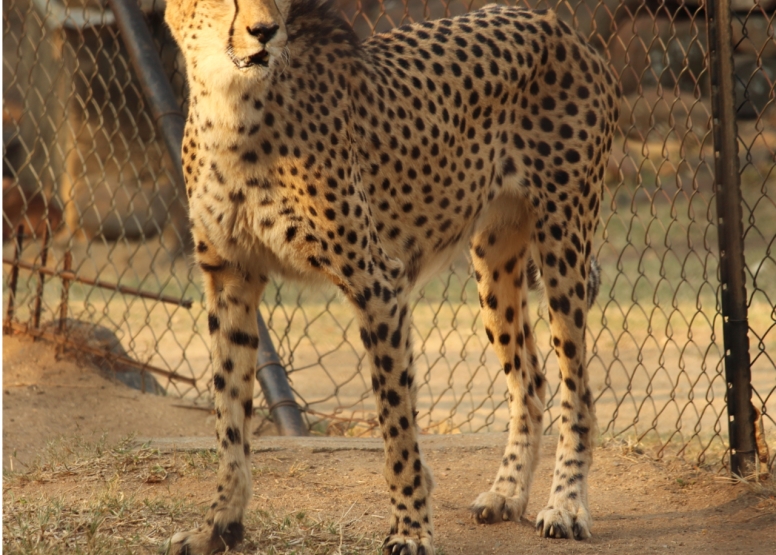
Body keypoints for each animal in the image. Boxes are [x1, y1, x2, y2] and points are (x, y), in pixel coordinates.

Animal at [162, 2, 620, 552]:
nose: (266, 31)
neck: (231, 102)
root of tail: (551, 20)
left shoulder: (377, 281)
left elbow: (396, 423)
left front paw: (412, 529)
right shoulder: (231, 278)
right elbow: (228, 421)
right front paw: (219, 526)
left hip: (562, 241)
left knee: (579, 389)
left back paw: (567, 506)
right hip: (493, 254)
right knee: (529, 378)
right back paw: (507, 492)